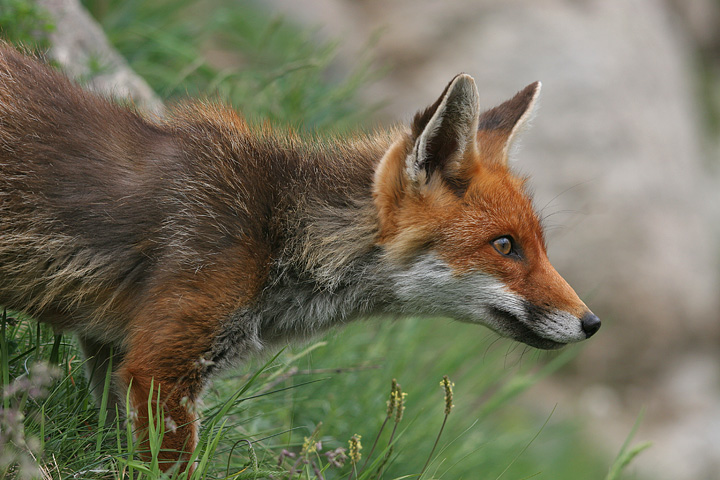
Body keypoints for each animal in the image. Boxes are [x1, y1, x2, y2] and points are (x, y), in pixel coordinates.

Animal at [0, 46, 596, 472]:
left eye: (540, 243)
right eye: (505, 246)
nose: (592, 322)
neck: (275, 238)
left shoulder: (112, 351)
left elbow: (108, 447)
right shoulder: (161, 370)